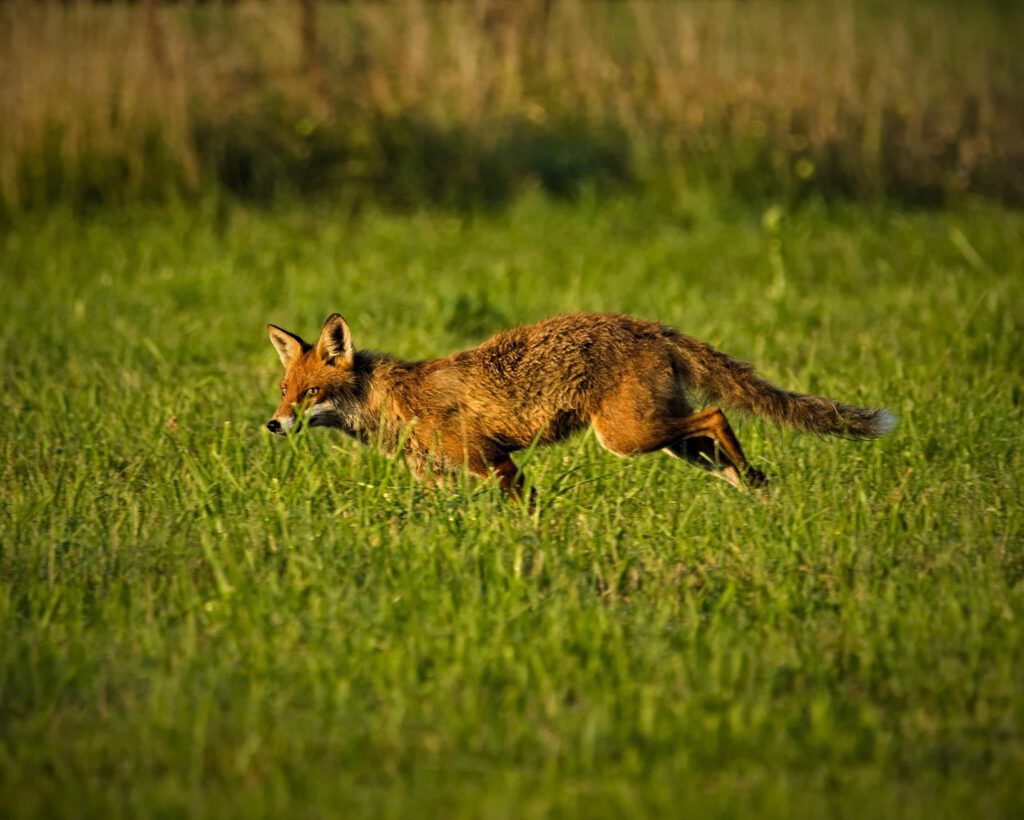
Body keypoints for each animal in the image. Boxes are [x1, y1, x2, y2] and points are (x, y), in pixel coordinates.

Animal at [266, 311, 897, 493]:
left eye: (311, 394)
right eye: (284, 393)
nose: (273, 425)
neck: (398, 400)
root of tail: (648, 327)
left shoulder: (495, 463)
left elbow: (523, 508)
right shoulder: (441, 479)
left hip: (627, 436)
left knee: (716, 414)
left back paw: (753, 480)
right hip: (667, 439)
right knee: (714, 437)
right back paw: (755, 487)